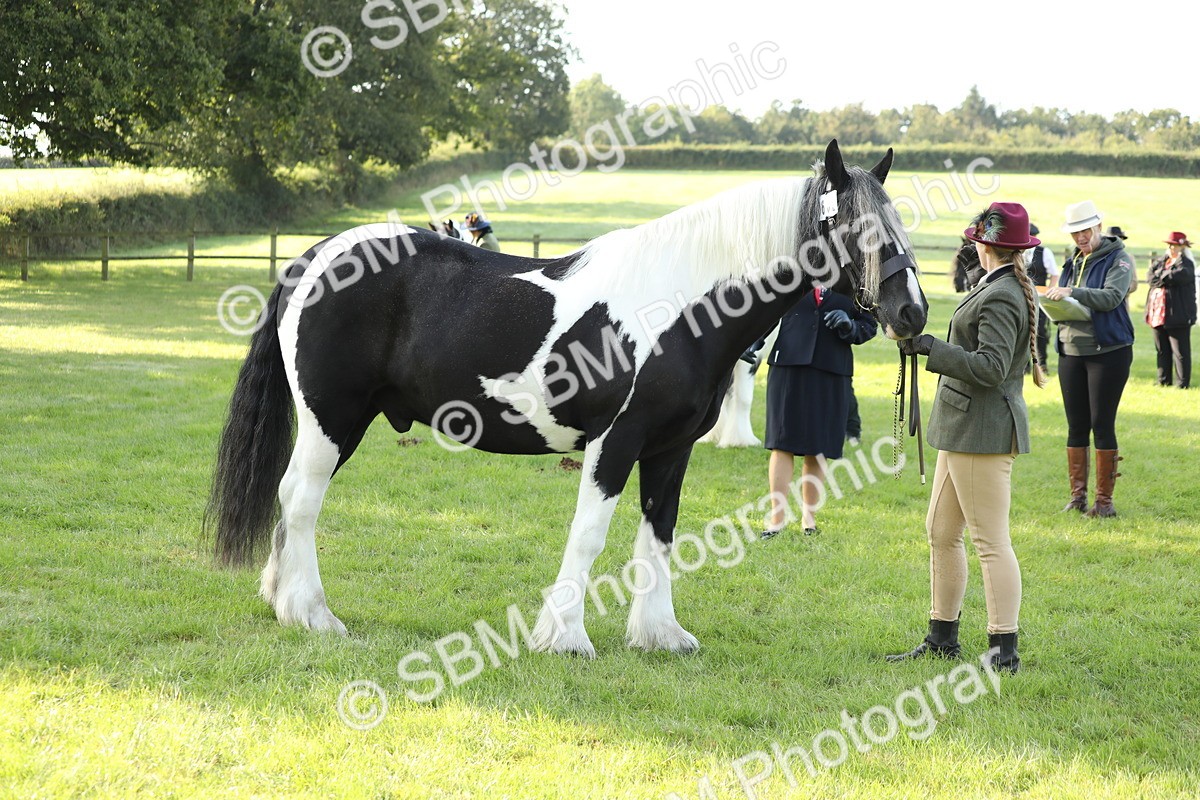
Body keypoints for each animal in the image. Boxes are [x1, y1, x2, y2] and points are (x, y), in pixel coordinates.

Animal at [205, 139, 929, 656]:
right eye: (853, 225)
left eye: (896, 223)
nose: (912, 312)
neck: (684, 306)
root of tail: (314, 258)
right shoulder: (615, 442)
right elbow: (589, 535)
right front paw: (566, 637)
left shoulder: (669, 451)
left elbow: (658, 536)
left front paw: (661, 635)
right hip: (331, 419)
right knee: (301, 499)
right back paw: (313, 615)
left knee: (291, 500)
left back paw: (282, 602)